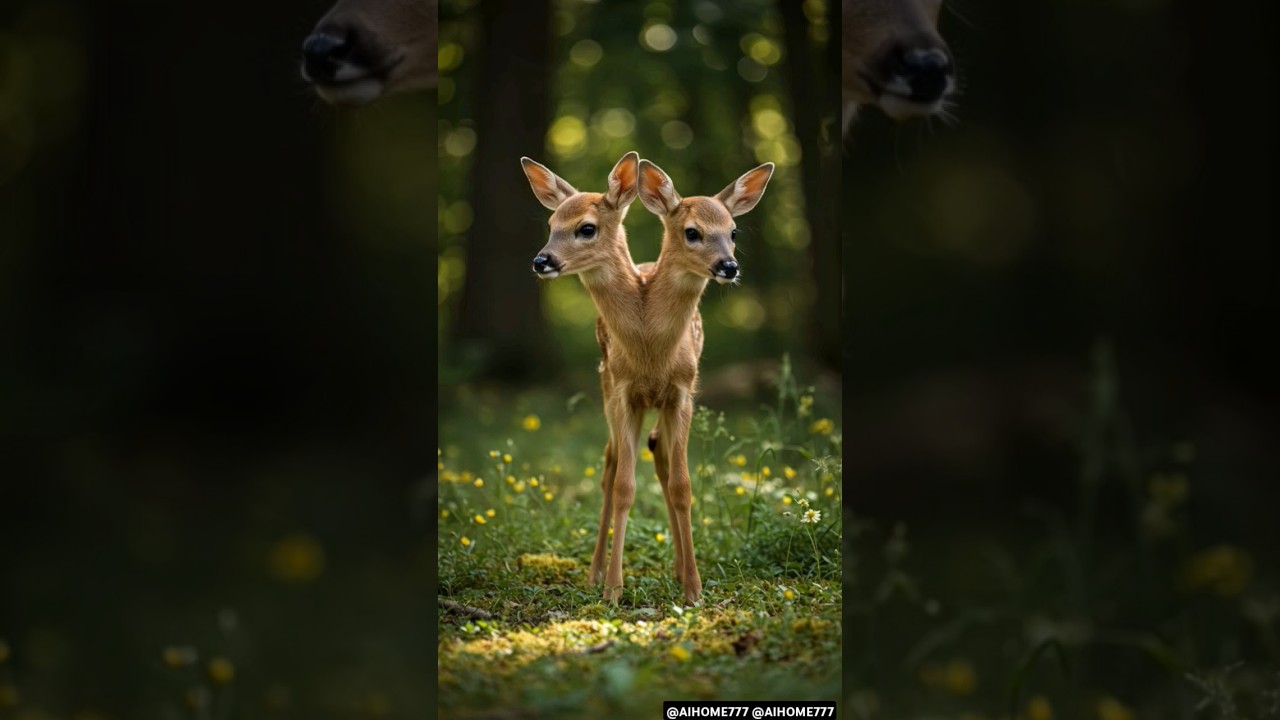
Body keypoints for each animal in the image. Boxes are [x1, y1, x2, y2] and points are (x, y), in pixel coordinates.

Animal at [521, 152, 774, 605]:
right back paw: (594, 574)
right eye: (551, 225)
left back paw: (677, 568)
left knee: (660, 455)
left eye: (732, 231)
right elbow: (624, 486)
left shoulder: (682, 392)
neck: (650, 344)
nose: (541, 260)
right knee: (610, 466)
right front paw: (612, 590)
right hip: (607, 390)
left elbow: (682, 485)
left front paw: (694, 589)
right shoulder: (624, 392)